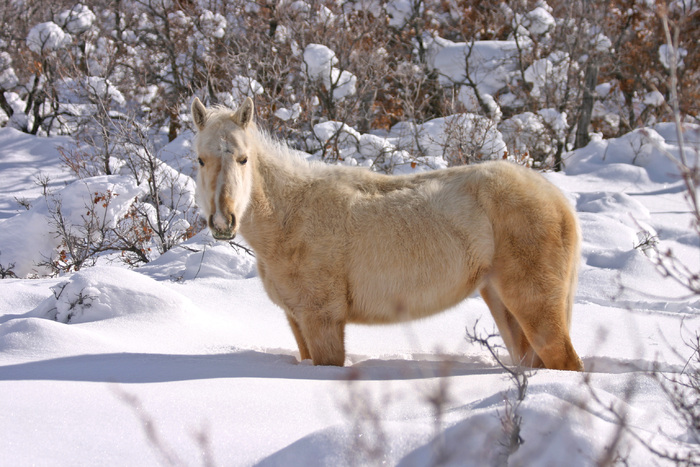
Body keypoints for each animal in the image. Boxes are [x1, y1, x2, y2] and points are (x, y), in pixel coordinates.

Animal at [191, 97, 584, 372]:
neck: (290, 216)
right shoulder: (297, 320)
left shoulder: (323, 320)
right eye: (200, 159)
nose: (223, 222)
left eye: (243, 159)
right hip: (500, 300)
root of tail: (558, 200)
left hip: (534, 303)